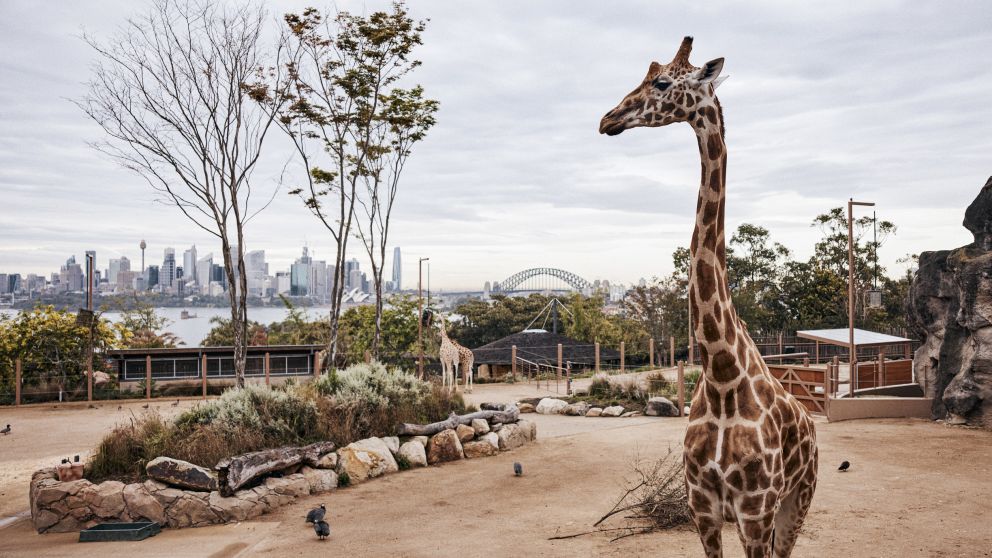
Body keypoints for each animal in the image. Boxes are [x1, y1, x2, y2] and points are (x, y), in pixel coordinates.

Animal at [600, 36, 816, 558]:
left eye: (661, 82)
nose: (608, 119)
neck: (720, 376)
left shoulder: (755, 511)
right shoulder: (703, 509)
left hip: (797, 499)